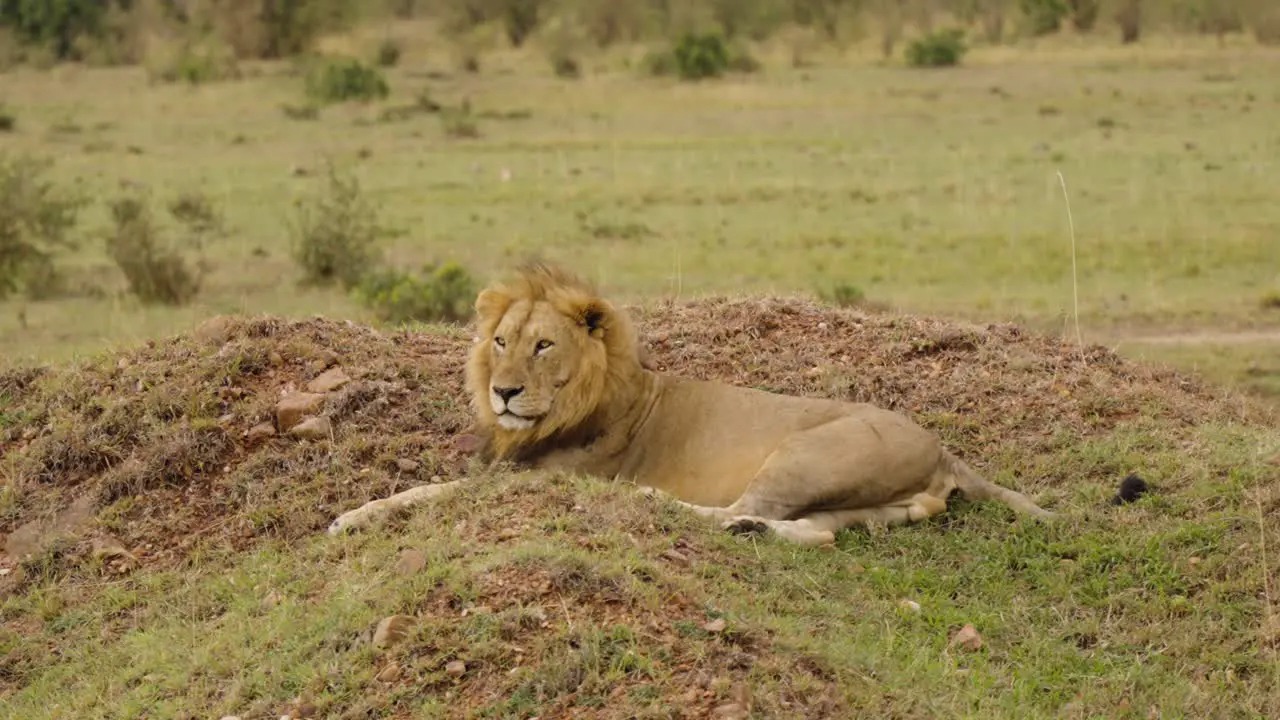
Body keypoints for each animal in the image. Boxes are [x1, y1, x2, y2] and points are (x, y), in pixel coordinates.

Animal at [325, 262, 1054, 543]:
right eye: (500, 341)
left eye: (543, 346)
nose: (503, 391)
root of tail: (945, 450)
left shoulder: (543, 478)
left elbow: (433, 492)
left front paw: (350, 517)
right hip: (870, 501)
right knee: (814, 531)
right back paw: (755, 532)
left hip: (806, 453)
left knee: (729, 509)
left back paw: (659, 504)